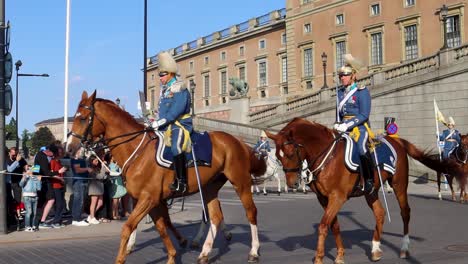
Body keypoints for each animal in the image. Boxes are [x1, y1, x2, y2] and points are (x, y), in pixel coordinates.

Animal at [67, 91, 268, 264]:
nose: (69, 147)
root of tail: (237, 141)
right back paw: (204, 252)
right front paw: (172, 253)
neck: (137, 152)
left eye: (83, 118)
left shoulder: (149, 198)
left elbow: (129, 227)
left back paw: (253, 251)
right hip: (209, 187)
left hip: (241, 182)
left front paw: (121, 258)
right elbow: (162, 226)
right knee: (215, 217)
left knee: (251, 212)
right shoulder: (151, 200)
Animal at [266, 118, 460, 264]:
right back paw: (375, 249)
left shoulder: (337, 197)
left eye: (290, 153)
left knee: (405, 212)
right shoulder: (324, 198)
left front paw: (319, 257)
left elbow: (323, 226)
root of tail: (396, 140)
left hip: (399, 185)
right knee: (380, 213)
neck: (327, 157)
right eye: (277, 156)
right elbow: (334, 225)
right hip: (371, 190)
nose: (292, 183)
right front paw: (340, 255)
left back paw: (404, 248)